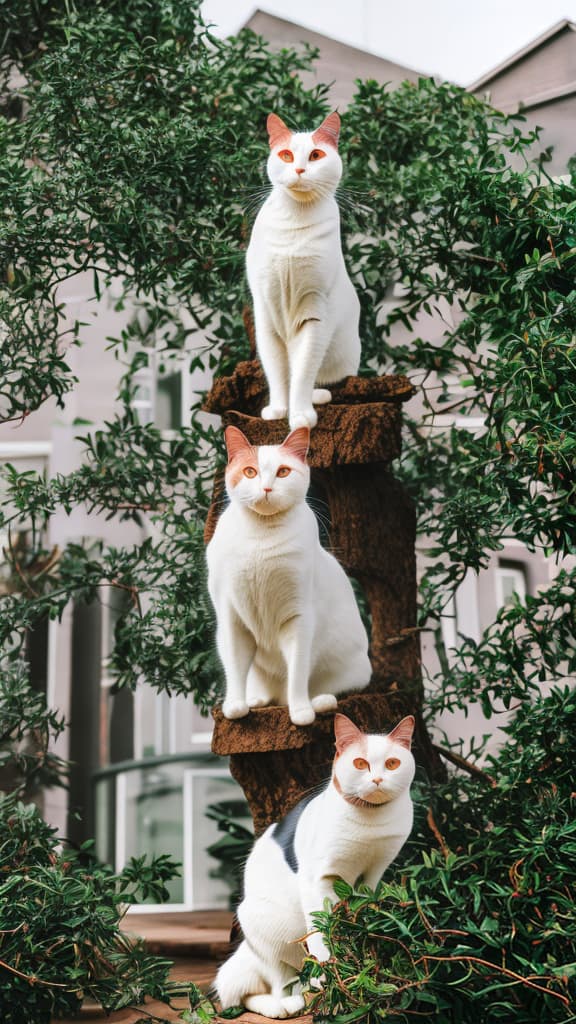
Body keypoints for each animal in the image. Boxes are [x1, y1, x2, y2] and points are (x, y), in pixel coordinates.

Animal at [203, 423, 368, 729]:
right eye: (250, 472)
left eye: (283, 472)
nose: (267, 488)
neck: (261, 537)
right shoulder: (231, 618)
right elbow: (234, 667)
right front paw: (236, 705)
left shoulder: (299, 617)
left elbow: (298, 671)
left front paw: (300, 710)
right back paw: (256, 699)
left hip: (353, 670)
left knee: (333, 690)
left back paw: (319, 702)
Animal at [215, 712, 412, 1015]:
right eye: (360, 763)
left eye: (392, 763)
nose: (378, 779)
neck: (370, 823)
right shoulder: (316, 882)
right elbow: (321, 932)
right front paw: (332, 972)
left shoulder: (373, 874)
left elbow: (361, 912)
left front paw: (361, 953)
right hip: (260, 926)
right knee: (273, 982)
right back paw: (286, 1004)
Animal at [245, 112, 358, 432]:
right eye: (286, 155)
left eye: (316, 155)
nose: (298, 169)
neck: (294, 223)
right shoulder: (265, 315)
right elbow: (277, 371)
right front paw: (278, 409)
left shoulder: (315, 313)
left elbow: (302, 371)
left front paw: (299, 416)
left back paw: (318, 396)